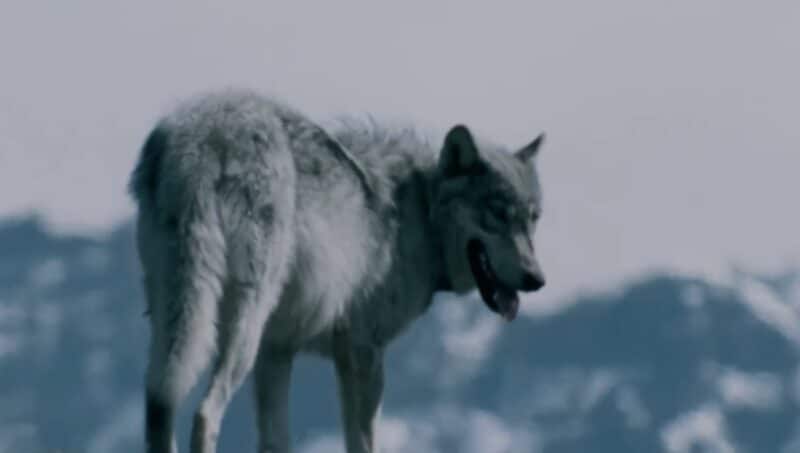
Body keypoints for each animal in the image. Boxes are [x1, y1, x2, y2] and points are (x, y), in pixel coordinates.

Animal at [129, 89, 546, 453]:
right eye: (497, 215)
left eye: (532, 219)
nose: (537, 279)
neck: (420, 214)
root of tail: (201, 135)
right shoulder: (364, 352)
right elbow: (362, 443)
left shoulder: (277, 350)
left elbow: (276, 442)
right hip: (240, 327)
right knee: (204, 413)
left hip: (176, 323)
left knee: (158, 408)